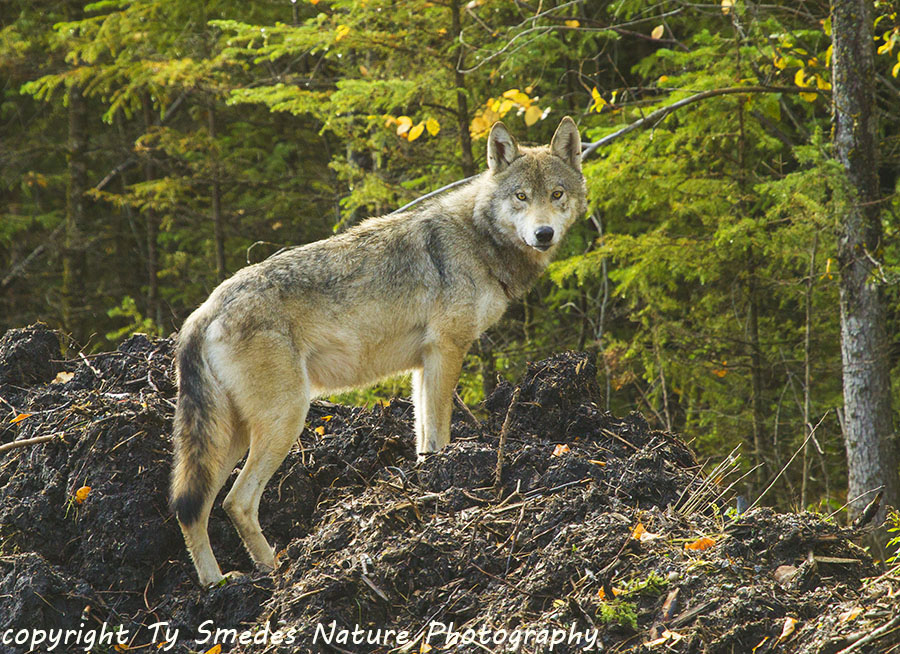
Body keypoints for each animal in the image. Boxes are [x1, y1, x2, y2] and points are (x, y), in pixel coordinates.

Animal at [170, 117, 587, 586]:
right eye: (521, 197)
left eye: (557, 194)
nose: (543, 233)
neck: (479, 239)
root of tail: (203, 311)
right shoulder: (447, 350)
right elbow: (440, 434)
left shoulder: (424, 365)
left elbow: (423, 436)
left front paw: (425, 483)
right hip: (284, 420)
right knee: (236, 502)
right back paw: (273, 573)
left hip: (235, 435)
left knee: (192, 509)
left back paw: (217, 584)